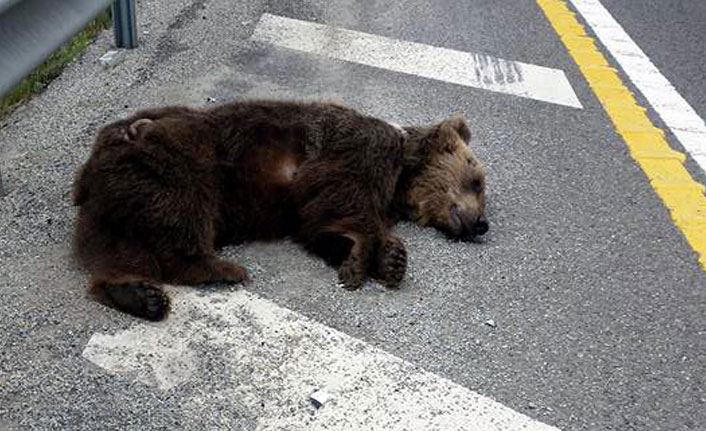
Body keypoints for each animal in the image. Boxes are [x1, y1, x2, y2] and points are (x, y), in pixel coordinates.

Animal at [74, 99, 486, 318]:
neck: (399, 182)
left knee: (122, 250)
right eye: (477, 180)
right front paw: (361, 262)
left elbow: (321, 226)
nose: (481, 224)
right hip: (181, 160)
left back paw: (135, 294)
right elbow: (339, 198)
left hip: (120, 204)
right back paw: (223, 269)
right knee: (185, 212)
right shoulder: (356, 154)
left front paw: (390, 259)